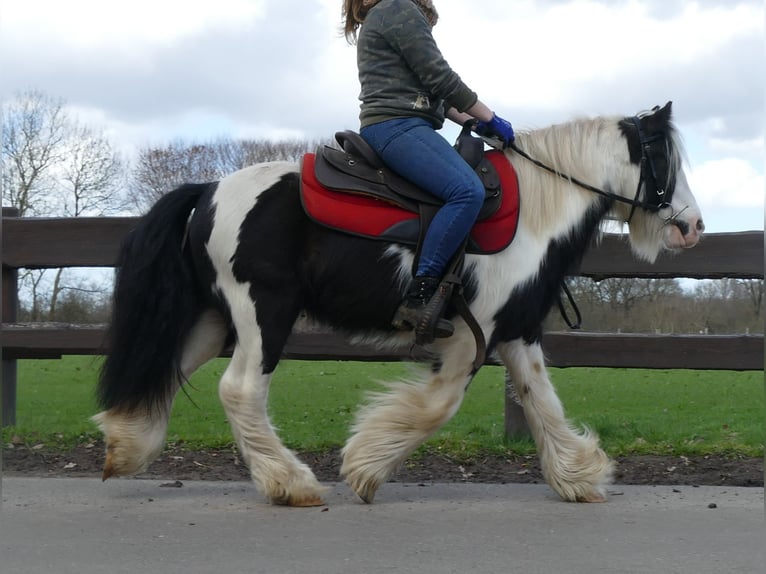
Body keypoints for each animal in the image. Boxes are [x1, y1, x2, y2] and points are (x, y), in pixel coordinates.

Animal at [93, 101, 704, 506]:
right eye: (663, 158)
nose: (694, 227)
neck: (535, 212)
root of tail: (208, 192)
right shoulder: (472, 335)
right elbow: (438, 406)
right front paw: (364, 467)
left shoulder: (516, 330)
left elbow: (541, 401)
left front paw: (579, 476)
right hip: (263, 315)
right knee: (240, 390)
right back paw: (291, 483)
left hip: (215, 320)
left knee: (169, 369)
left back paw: (127, 447)